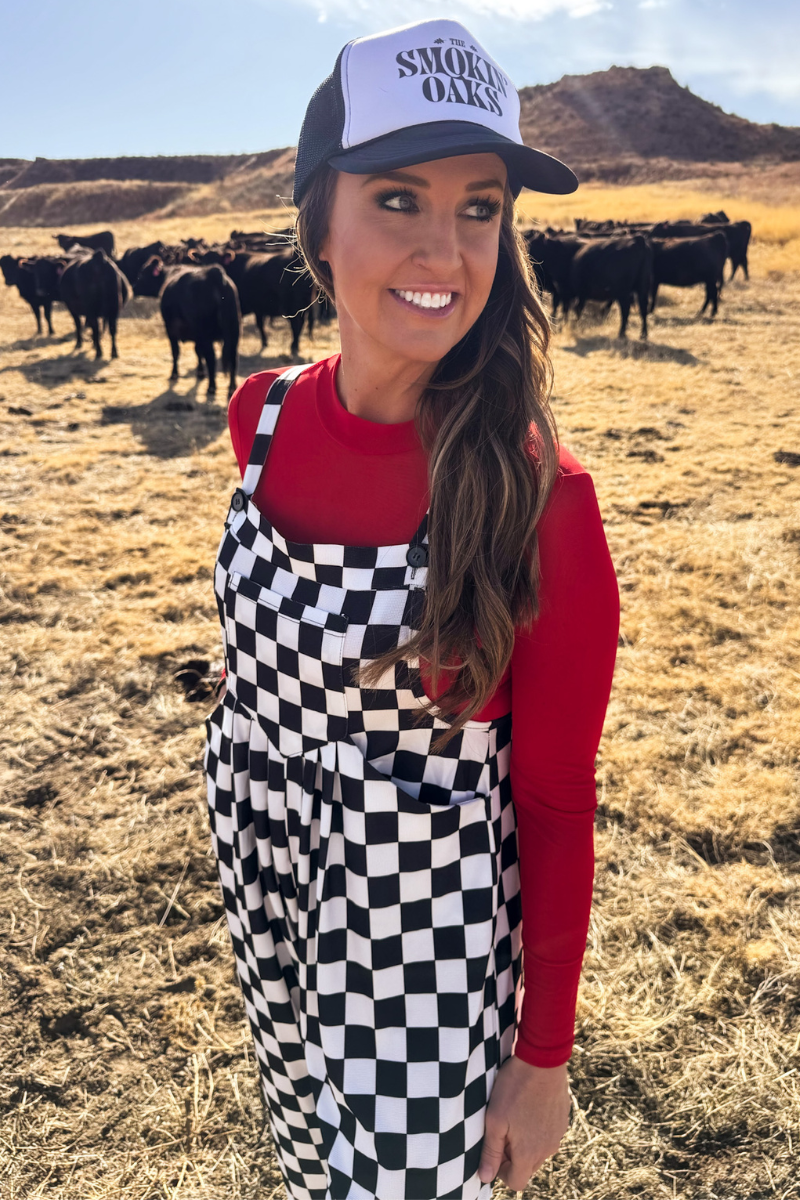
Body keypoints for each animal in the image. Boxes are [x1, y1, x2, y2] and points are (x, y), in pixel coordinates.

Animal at [132, 257, 240, 396]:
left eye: (143, 273)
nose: (134, 287)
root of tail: (214, 273)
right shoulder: (197, 335)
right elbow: (198, 351)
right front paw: (200, 372)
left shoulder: (170, 329)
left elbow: (175, 351)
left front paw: (174, 374)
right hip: (234, 331)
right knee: (232, 357)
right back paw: (232, 388)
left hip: (207, 334)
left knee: (211, 357)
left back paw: (211, 387)